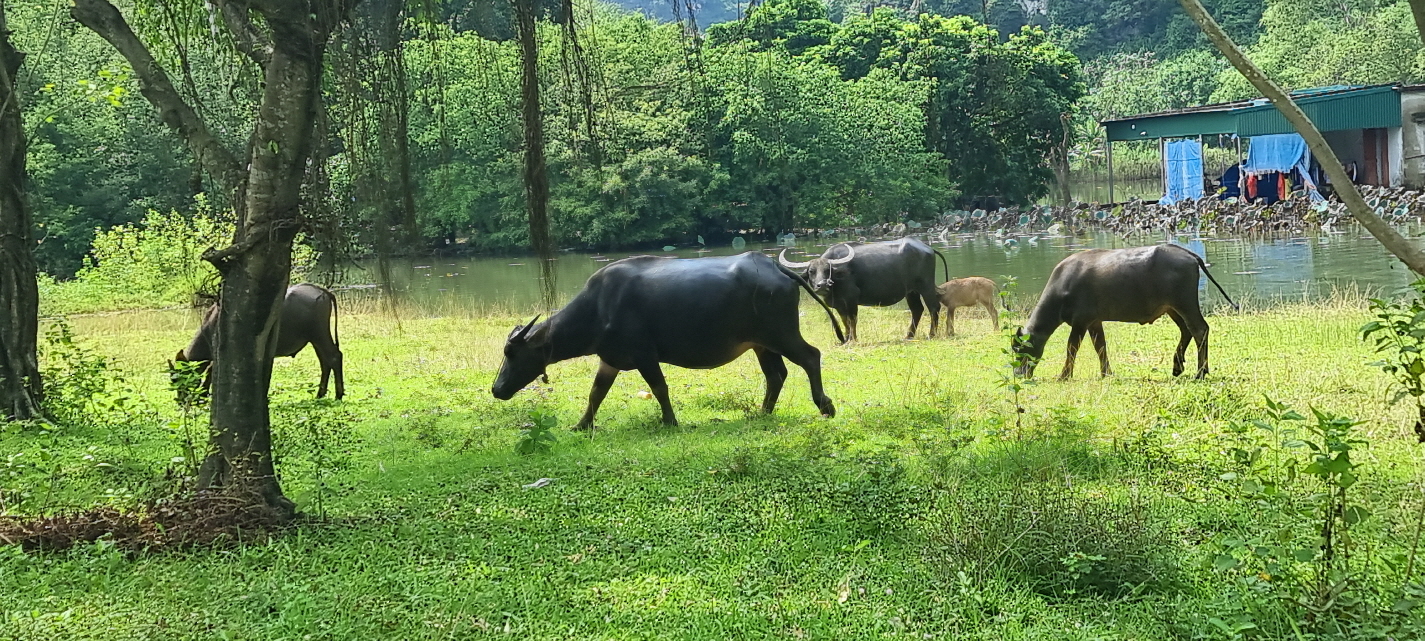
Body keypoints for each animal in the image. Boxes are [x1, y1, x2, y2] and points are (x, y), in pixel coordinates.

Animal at [172, 283, 344, 399]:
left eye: (177, 377)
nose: (180, 400)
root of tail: (322, 291)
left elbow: (210, 373)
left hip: (319, 333)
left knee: (334, 357)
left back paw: (338, 394)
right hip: (315, 338)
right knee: (325, 361)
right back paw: (321, 393)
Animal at [491, 252, 845, 430]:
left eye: (512, 352)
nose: (496, 389)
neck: (599, 307)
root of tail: (777, 268)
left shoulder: (645, 355)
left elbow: (660, 388)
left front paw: (670, 421)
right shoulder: (609, 360)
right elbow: (595, 394)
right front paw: (581, 425)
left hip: (782, 334)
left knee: (811, 356)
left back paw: (825, 406)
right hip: (761, 343)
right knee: (776, 375)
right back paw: (762, 413)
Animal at [777, 237, 948, 342]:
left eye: (828, 270)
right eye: (812, 271)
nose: (822, 285)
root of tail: (928, 248)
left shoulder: (851, 299)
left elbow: (852, 319)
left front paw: (853, 339)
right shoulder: (839, 304)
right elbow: (844, 320)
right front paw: (846, 339)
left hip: (925, 285)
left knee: (934, 307)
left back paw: (931, 334)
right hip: (911, 291)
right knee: (917, 310)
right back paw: (908, 336)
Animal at [1011, 244, 1237, 380]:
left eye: (1019, 349)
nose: (1019, 374)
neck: (1062, 288)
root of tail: (1189, 254)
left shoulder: (1080, 322)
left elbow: (1072, 348)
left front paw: (1064, 375)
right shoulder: (1094, 321)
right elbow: (1100, 347)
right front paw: (1106, 373)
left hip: (1185, 304)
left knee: (1199, 329)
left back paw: (1200, 372)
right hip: (1172, 308)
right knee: (1186, 330)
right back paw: (1178, 367)